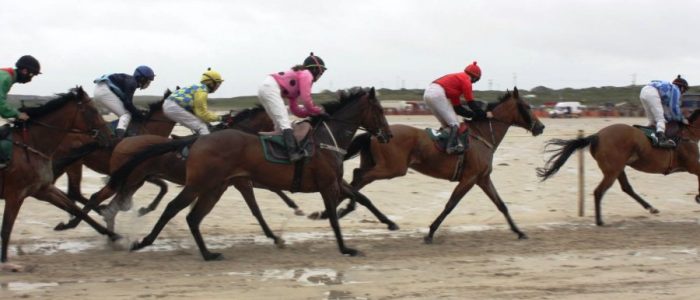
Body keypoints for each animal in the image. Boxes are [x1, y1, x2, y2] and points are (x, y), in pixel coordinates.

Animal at [0, 86, 118, 268]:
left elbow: (74, 208)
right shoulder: (15, 195)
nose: (110, 136)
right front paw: (5, 261)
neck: (31, 146)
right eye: (93, 110)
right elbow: (6, 229)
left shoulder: (42, 190)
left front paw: (113, 235)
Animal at [53, 104, 304, 231]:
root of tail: (122, 142)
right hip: (120, 175)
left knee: (95, 197)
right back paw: (78, 222)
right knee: (92, 195)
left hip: (131, 178)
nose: (288, 129)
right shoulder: (238, 178)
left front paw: (295, 206)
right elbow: (267, 193)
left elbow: (273, 189)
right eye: (274, 118)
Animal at [111, 86, 392, 260]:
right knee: (171, 208)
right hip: (198, 184)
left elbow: (361, 197)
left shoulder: (334, 181)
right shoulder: (326, 184)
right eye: (379, 110)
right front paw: (345, 248)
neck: (326, 138)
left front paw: (388, 222)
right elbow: (334, 217)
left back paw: (208, 254)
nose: (388, 135)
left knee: (193, 217)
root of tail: (198, 140)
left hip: (215, 187)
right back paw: (142, 241)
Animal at [322, 88, 548, 243]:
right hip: (393, 168)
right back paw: (341, 209)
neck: (482, 135)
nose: (541, 126)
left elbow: (501, 204)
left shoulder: (483, 178)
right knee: (359, 176)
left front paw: (519, 231)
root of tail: (376, 133)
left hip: (380, 164)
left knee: (356, 177)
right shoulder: (470, 178)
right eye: (527, 107)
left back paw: (335, 210)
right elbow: (450, 205)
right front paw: (430, 233)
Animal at [540, 109, 700, 225]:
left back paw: (651, 208)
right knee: (599, 191)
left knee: (626, 188)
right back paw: (599, 221)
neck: (689, 134)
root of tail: (597, 136)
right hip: (612, 171)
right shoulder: (693, 165)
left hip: (618, 169)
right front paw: (698, 197)